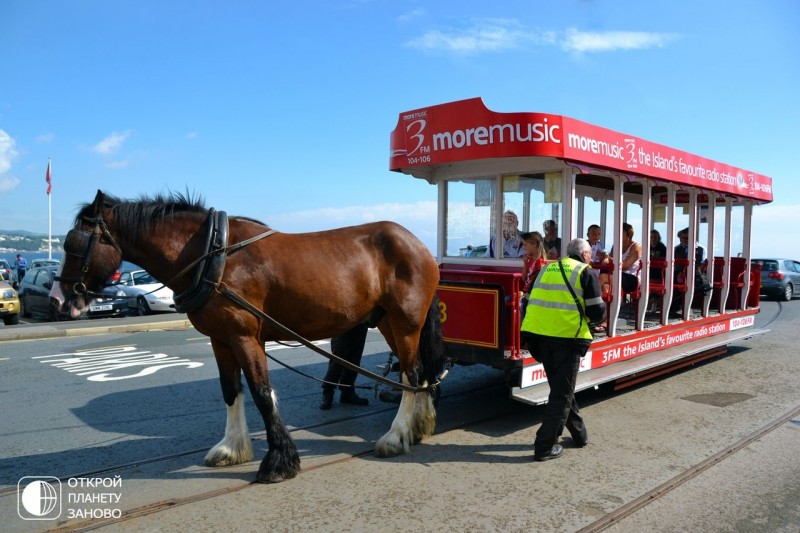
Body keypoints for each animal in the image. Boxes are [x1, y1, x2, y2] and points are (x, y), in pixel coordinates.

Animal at [57, 188, 444, 482]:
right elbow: (231, 391)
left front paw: (279, 461)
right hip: (388, 322)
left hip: (405, 322)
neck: (210, 255)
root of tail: (418, 244)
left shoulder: (244, 336)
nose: (60, 300)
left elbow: (261, 393)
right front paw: (231, 448)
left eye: (74, 243)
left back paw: (395, 436)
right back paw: (418, 426)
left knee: (410, 373)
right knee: (419, 372)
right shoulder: (221, 338)